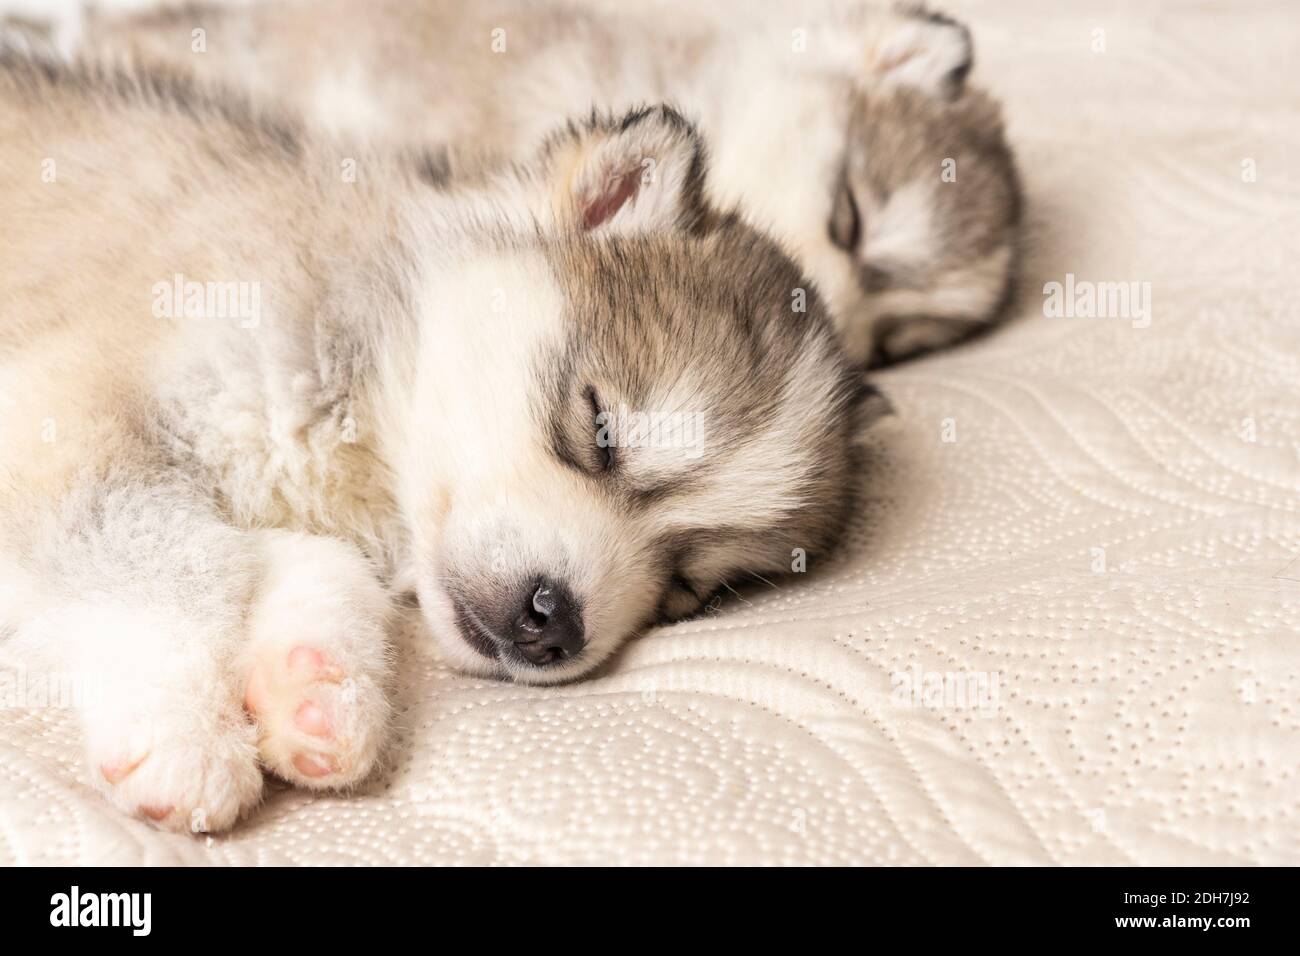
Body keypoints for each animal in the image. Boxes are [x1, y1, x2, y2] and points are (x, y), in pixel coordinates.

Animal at [2, 54, 873, 832]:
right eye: (599, 431)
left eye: (685, 588)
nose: (553, 622)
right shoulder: (67, 414)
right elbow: (162, 562)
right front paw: (184, 730)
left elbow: (299, 562)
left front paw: (321, 681)